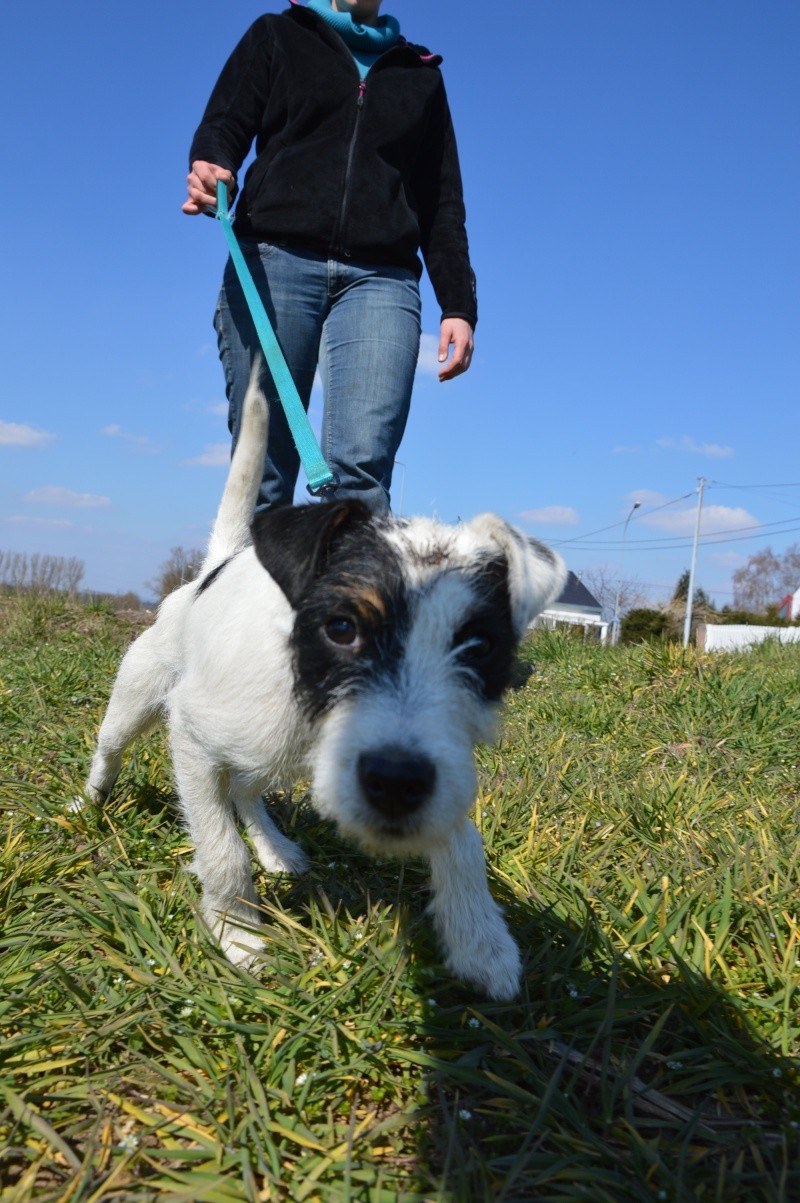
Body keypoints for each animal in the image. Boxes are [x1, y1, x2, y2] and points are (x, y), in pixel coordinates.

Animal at [84, 372, 565, 996]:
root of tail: (213, 567)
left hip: (264, 751)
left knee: (246, 790)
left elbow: (463, 839)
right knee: (115, 748)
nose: (397, 784)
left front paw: (480, 940)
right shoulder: (192, 736)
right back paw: (88, 802)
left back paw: (276, 848)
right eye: (341, 628)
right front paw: (238, 935)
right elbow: (220, 848)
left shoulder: (439, 763)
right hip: (142, 692)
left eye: (479, 647)